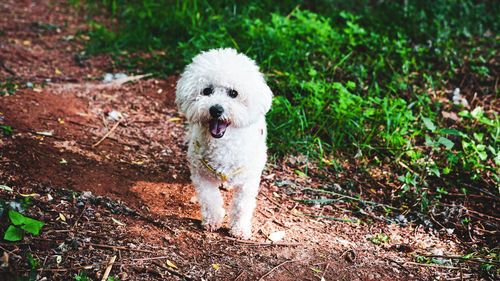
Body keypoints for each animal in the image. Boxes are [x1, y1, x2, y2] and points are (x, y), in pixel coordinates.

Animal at [174, 48, 272, 238]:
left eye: (233, 93)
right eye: (206, 90)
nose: (216, 109)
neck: (223, 145)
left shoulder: (248, 181)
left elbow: (242, 206)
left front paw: (240, 229)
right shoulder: (201, 175)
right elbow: (209, 199)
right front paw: (212, 221)